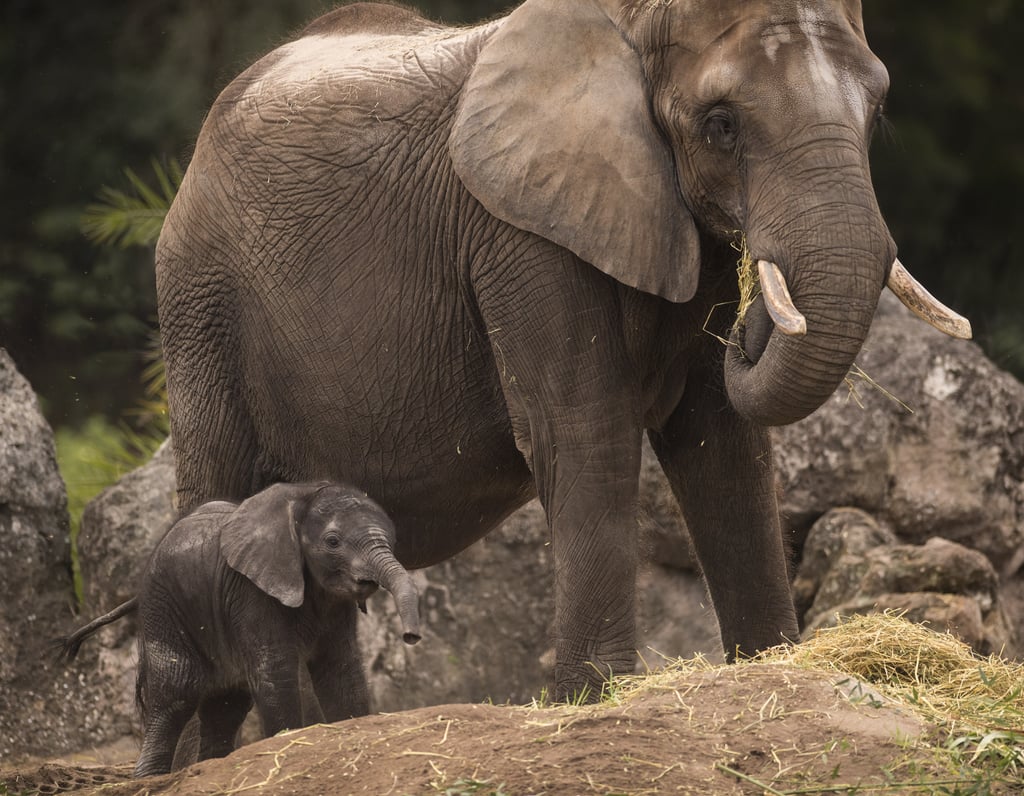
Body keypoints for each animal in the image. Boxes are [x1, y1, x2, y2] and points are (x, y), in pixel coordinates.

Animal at [60, 477, 419, 774]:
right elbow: (275, 672)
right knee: (176, 694)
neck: (301, 497)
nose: (411, 636)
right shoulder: (251, 592)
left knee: (226, 705)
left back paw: (210, 767)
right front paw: (287, 740)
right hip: (164, 608)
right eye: (333, 541)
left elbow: (341, 669)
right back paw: (150, 777)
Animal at [155, 0, 970, 696]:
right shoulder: (519, 231)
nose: (749, 321)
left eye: (878, 109)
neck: (628, 25)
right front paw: (596, 696)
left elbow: (723, 445)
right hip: (200, 308)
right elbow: (584, 431)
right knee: (217, 490)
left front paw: (773, 666)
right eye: (721, 125)